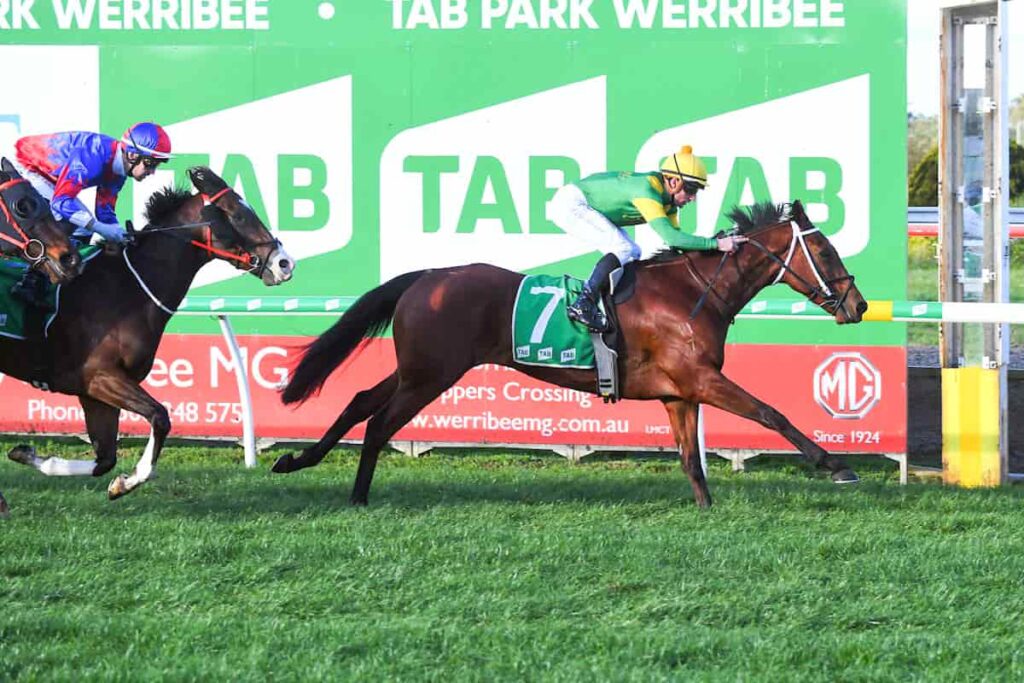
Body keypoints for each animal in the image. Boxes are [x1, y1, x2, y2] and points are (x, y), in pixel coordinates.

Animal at [7, 165, 296, 497]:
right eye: (238, 215)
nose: (285, 263)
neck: (126, 288)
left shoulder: (93, 390)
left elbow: (104, 460)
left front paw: (26, 453)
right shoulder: (100, 375)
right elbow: (160, 418)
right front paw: (133, 478)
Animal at [276, 198, 868, 507]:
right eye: (824, 251)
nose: (857, 304)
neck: (692, 291)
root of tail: (429, 276)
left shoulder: (679, 393)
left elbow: (690, 459)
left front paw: (706, 508)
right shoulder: (702, 380)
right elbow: (772, 413)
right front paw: (837, 467)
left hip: (417, 368)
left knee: (359, 400)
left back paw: (297, 460)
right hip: (430, 375)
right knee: (378, 423)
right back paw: (356, 495)